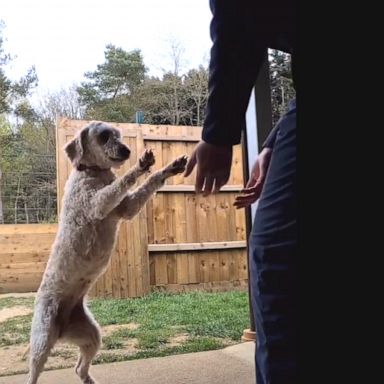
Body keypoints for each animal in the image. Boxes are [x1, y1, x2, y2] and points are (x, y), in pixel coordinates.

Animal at [26, 121, 188, 382]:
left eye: (119, 135)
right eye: (103, 136)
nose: (126, 150)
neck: (92, 172)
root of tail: (61, 328)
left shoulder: (126, 208)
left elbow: (148, 184)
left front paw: (169, 168)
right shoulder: (98, 204)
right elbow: (120, 183)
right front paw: (139, 166)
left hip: (91, 335)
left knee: (79, 368)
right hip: (42, 341)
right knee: (33, 373)